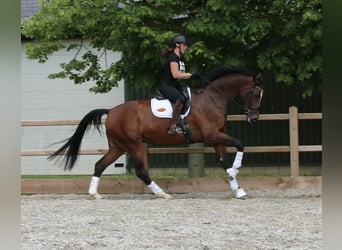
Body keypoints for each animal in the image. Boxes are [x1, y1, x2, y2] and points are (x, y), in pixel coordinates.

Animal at [48, 65, 264, 200]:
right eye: (255, 93)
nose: (254, 118)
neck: (212, 99)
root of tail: (111, 111)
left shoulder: (217, 138)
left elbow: (224, 162)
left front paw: (238, 189)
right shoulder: (212, 136)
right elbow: (240, 144)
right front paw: (236, 170)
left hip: (118, 146)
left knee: (100, 165)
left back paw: (95, 194)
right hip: (133, 144)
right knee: (141, 171)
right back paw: (163, 194)